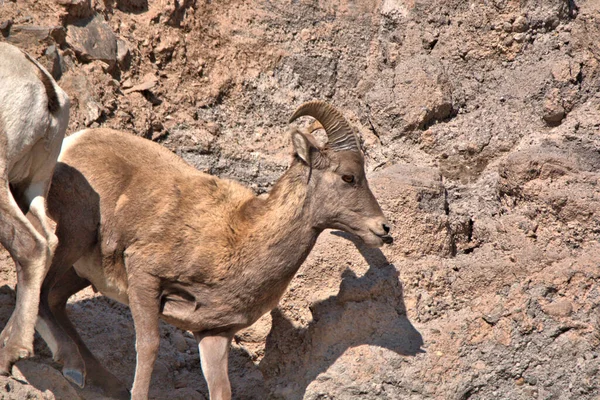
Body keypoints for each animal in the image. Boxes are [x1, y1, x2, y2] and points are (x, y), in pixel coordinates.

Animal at [37, 101, 394, 400]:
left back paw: (94, 378)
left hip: (83, 271)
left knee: (55, 299)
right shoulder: (145, 277)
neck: (242, 239)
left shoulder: (214, 333)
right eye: (348, 177)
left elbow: (221, 389)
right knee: (41, 290)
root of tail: (74, 142)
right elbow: (149, 346)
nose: (384, 230)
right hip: (75, 236)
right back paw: (73, 366)